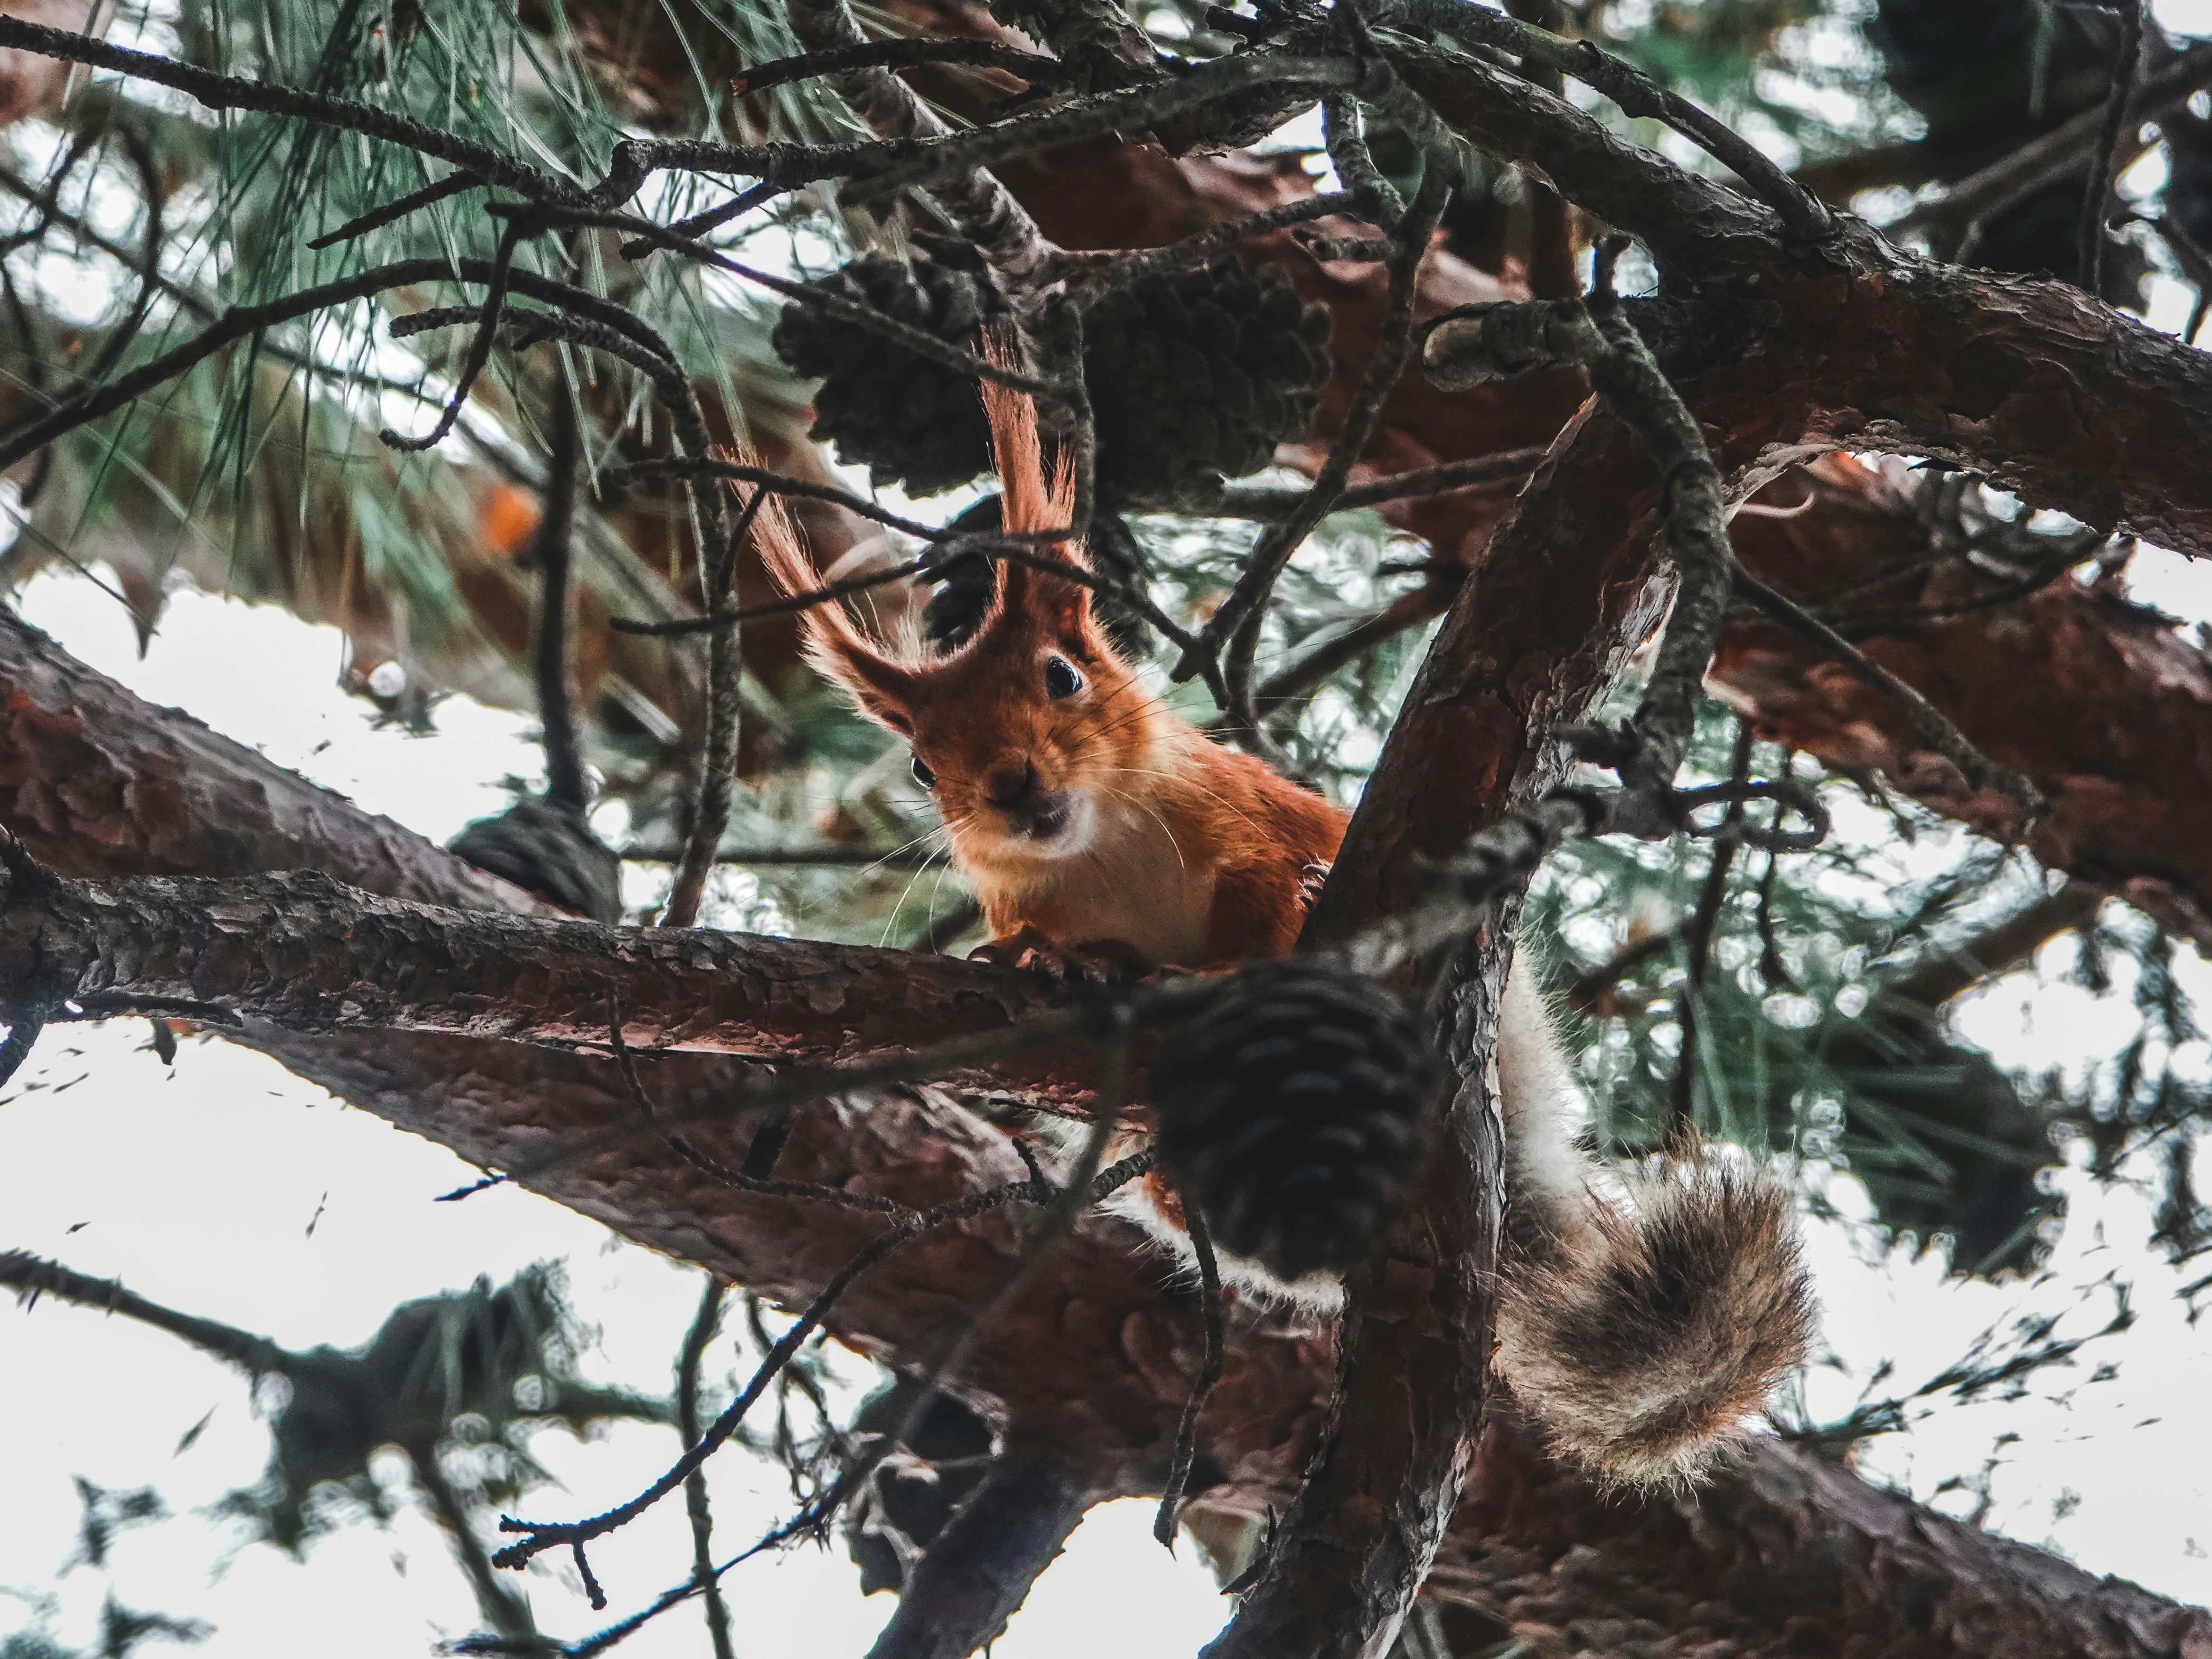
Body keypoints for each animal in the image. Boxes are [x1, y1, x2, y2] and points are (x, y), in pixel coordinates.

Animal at [752, 373, 1816, 1492]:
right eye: (922, 765)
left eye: (1062, 677)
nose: (1008, 786)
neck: (1098, 850)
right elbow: (1049, 939)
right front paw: (1055, 957)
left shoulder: (1246, 829)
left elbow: (1261, 895)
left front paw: (1249, 943)